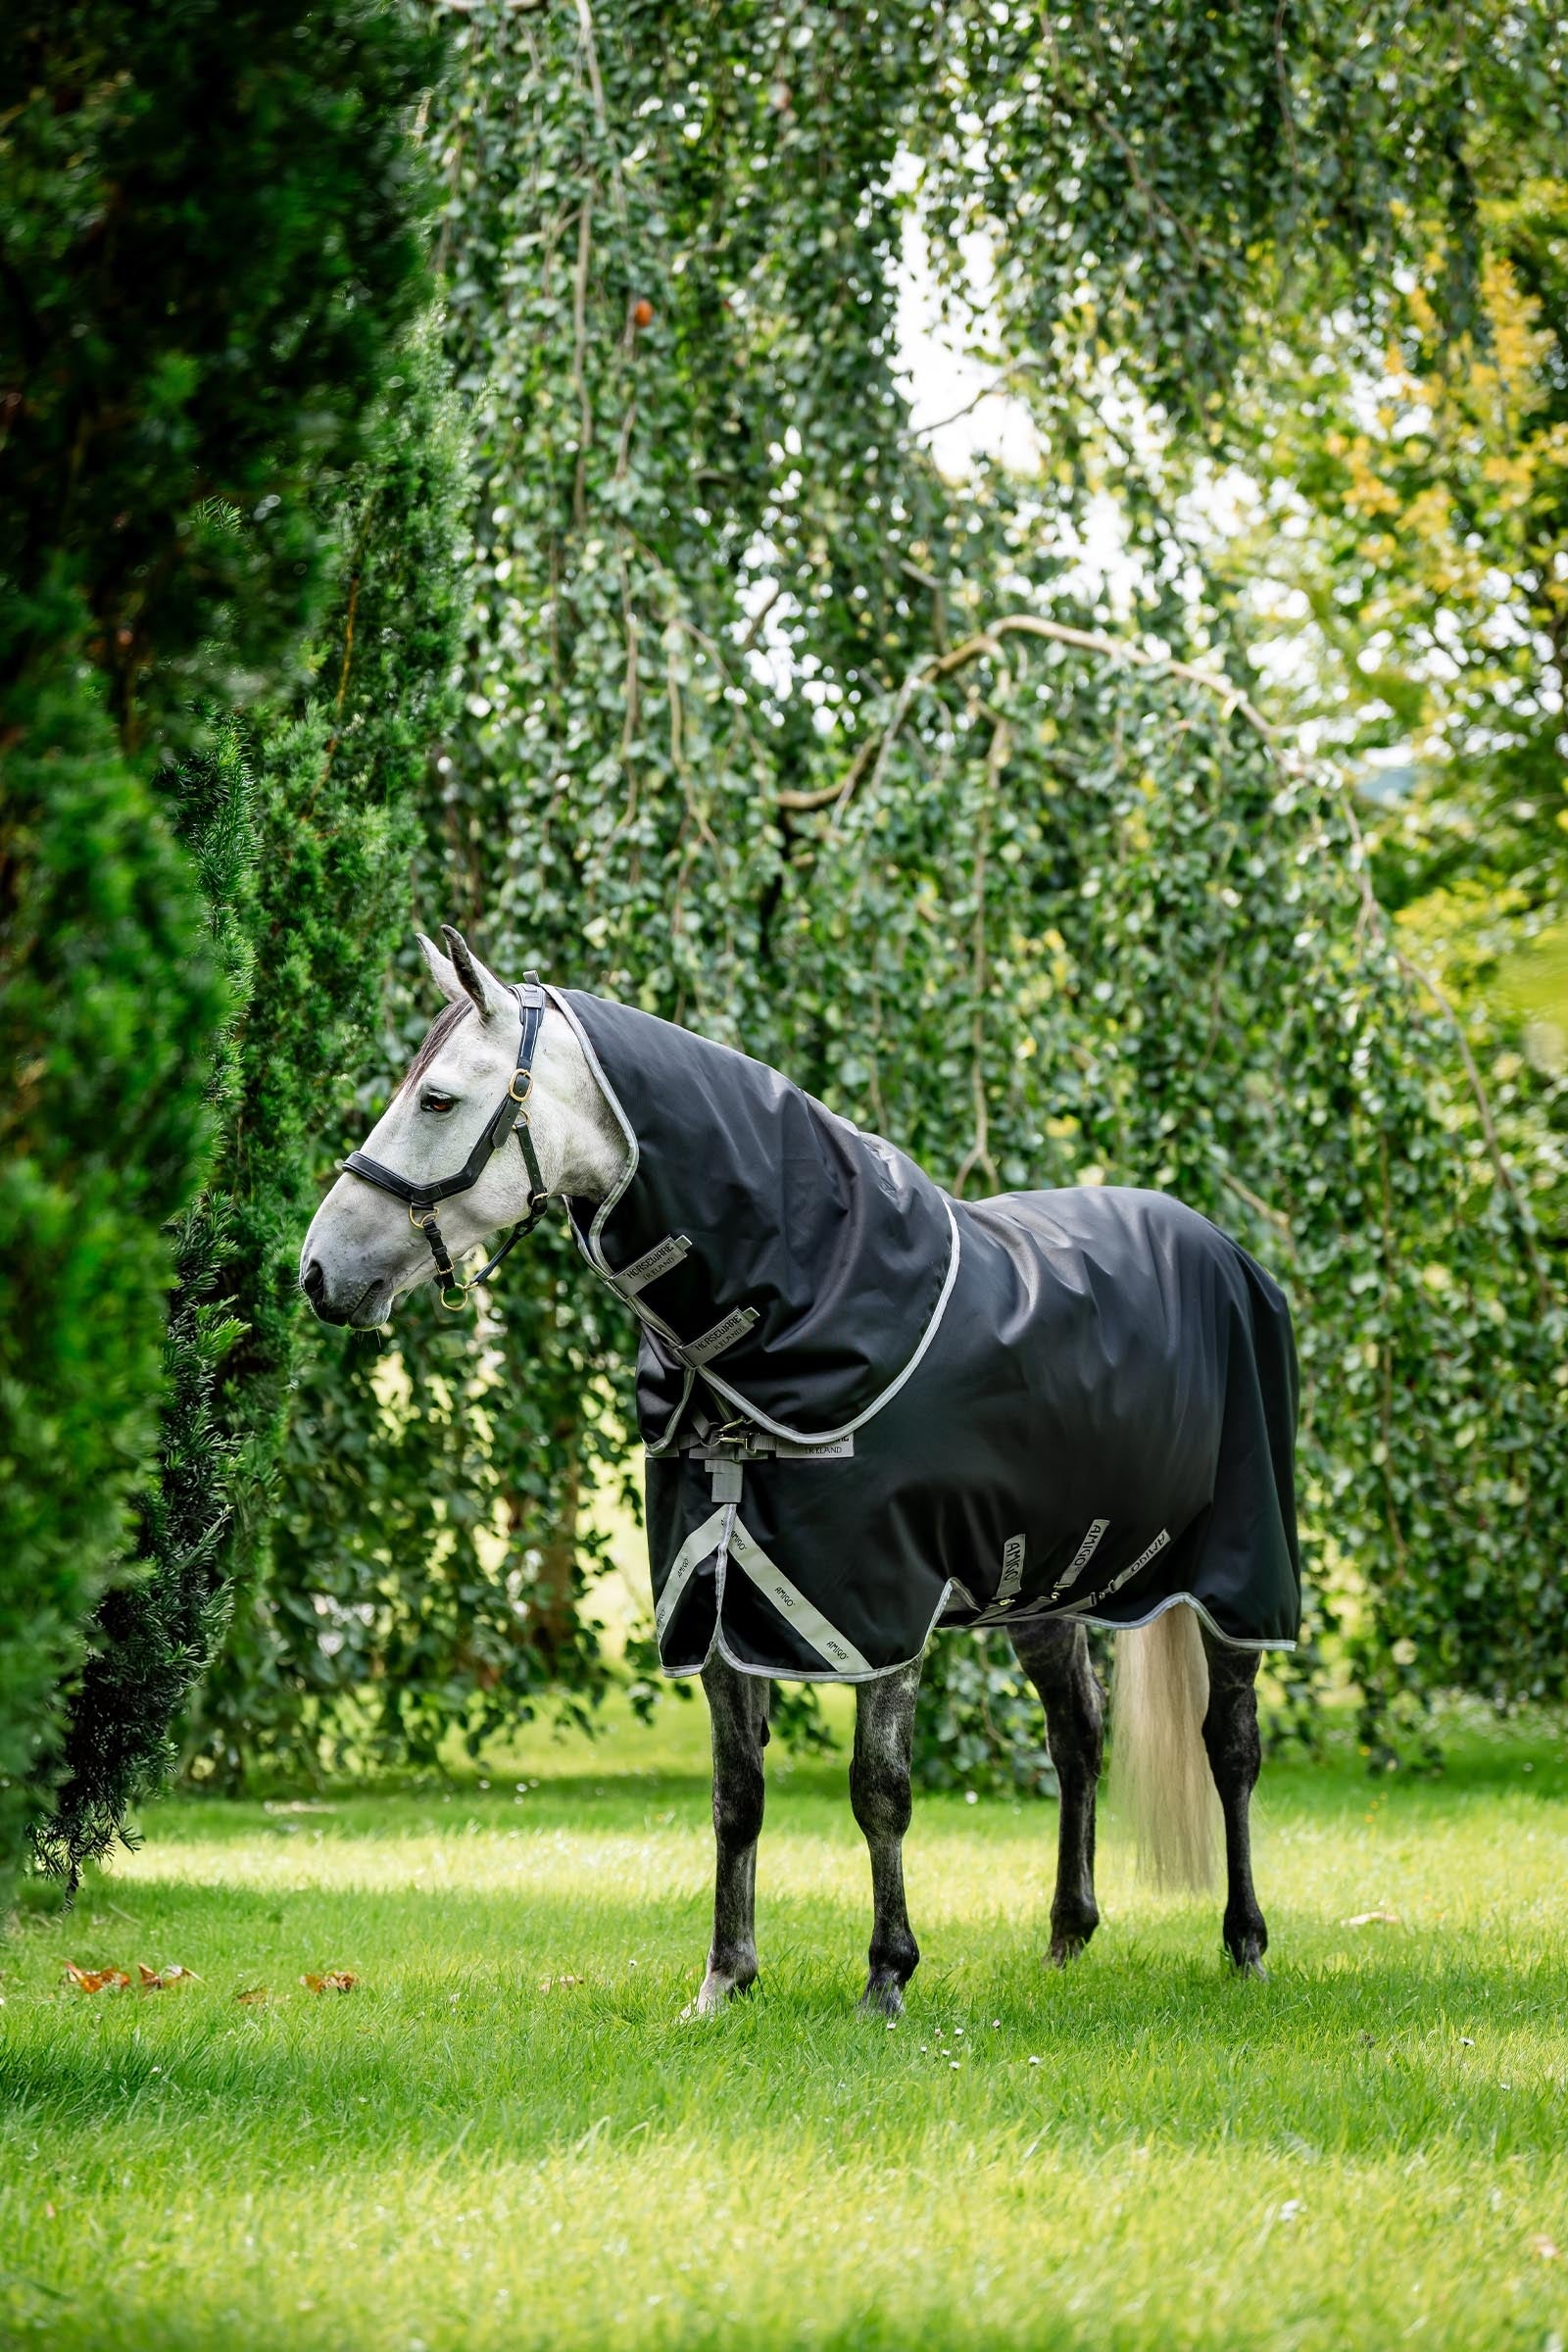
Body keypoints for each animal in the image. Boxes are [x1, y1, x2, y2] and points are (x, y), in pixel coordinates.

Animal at [301, 925, 1300, 2016]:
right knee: (1076, 1736)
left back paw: (1246, 1943)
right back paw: (1067, 1940)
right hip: (1040, 1588)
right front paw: (723, 1981)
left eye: (437, 1099)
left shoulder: (880, 1609)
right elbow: (736, 1796)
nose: (317, 1273)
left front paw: (887, 1976)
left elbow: (880, 1790)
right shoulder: (714, 1592)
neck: (794, 1305)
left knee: (1231, 1747)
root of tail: (1226, 1251)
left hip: (1237, 1580)